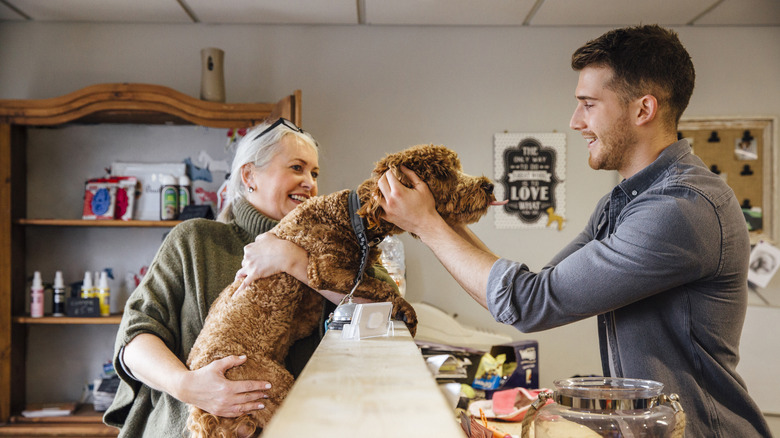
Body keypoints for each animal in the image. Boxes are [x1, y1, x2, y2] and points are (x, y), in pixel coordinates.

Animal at [184, 143, 500, 434]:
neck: (352, 218)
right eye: (444, 173)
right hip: (268, 386)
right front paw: (407, 313)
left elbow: (378, 283)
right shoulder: (325, 269)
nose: (489, 185)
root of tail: (203, 413)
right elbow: (383, 287)